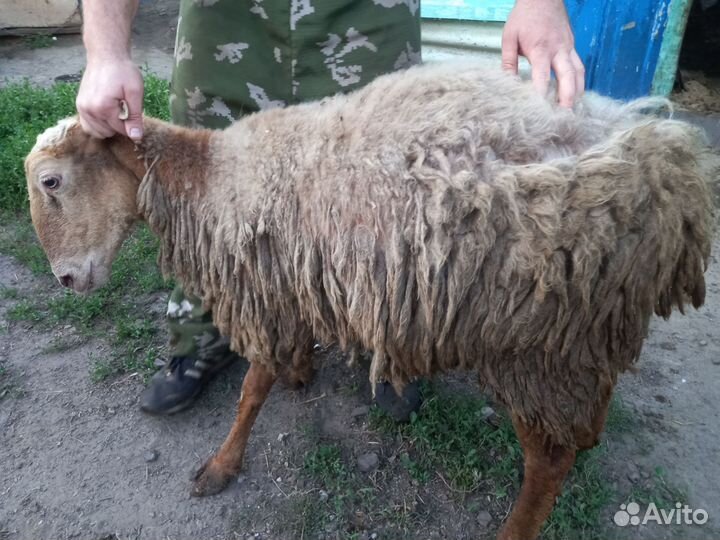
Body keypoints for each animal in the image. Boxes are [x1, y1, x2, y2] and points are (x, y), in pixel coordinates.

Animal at [25, 62, 717, 540]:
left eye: (52, 181)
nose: (66, 281)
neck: (213, 176)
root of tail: (665, 165)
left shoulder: (267, 291)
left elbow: (252, 388)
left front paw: (222, 463)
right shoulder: (294, 278)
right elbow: (280, 364)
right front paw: (301, 373)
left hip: (535, 343)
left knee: (548, 460)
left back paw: (515, 530)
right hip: (584, 332)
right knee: (583, 422)